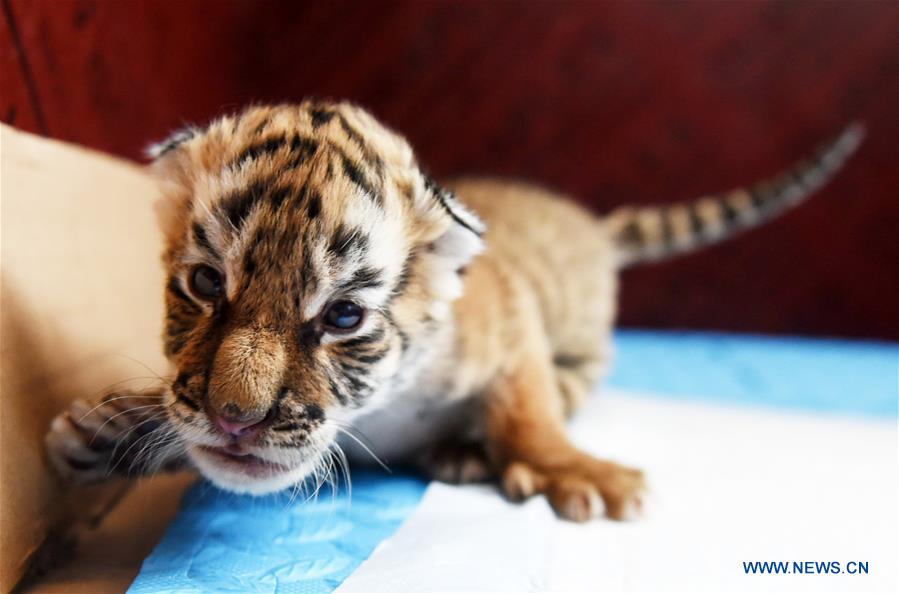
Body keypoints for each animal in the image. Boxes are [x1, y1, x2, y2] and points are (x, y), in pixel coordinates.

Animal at [45, 100, 862, 522]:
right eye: (207, 283)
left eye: (343, 318)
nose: (234, 419)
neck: (371, 421)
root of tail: (594, 225)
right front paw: (105, 436)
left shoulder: (512, 333)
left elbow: (528, 409)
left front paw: (578, 474)